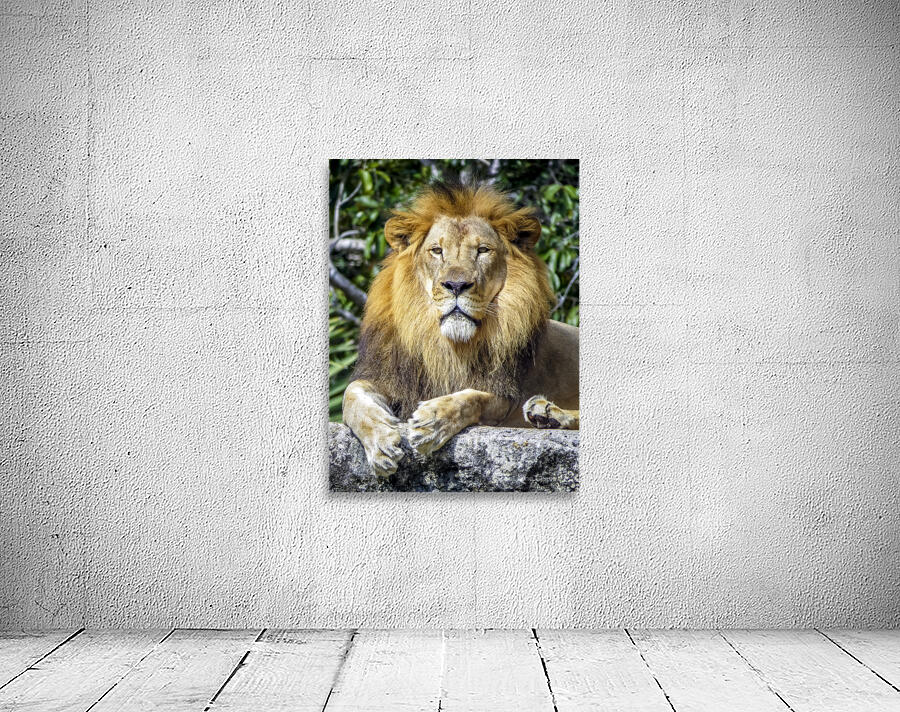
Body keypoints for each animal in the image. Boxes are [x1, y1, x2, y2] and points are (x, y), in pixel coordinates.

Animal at [342, 180, 579, 477]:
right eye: (437, 251)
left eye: (482, 250)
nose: (456, 285)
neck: (447, 345)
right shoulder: (392, 378)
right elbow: (351, 396)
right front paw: (381, 442)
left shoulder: (506, 395)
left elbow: (472, 397)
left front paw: (432, 420)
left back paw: (549, 413)